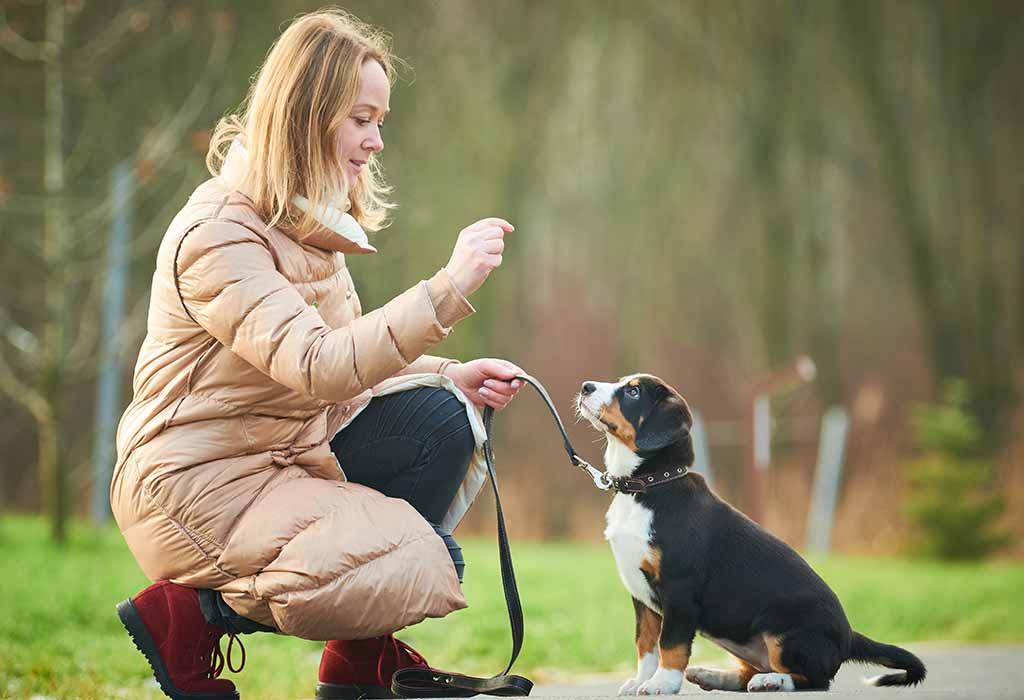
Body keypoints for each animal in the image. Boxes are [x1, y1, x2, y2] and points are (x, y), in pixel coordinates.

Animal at [577, 374, 929, 691]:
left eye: (633, 392)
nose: (585, 387)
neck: (648, 487)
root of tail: (848, 635)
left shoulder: (679, 590)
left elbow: (671, 644)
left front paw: (662, 683)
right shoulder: (643, 597)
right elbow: (646, 645)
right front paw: (641, 681)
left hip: (783, 634)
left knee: (814, 679)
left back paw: (771, 681)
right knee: (754, 670)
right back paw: (713, 676)